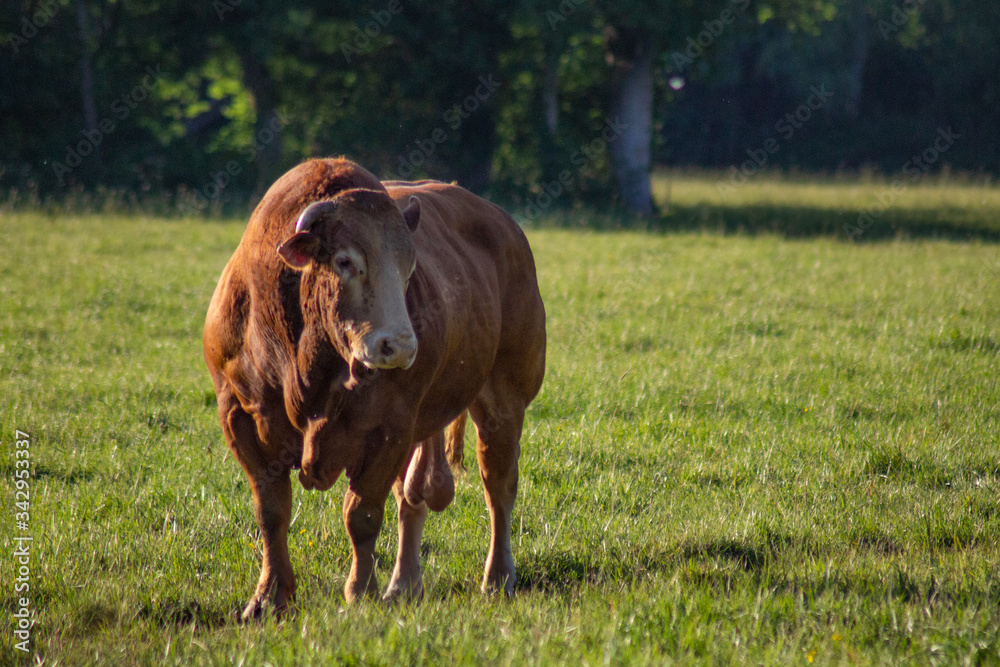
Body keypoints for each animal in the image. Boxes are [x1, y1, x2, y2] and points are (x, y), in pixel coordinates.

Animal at [203, 157, 546, 619]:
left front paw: (360, 590)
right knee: (412, 498)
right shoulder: (239, 417)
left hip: (505, 396)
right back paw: (405, 583)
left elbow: (361, 514)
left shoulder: (390, 429)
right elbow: (271, 512)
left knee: (498, 485)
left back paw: (497, 577)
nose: (400, 345)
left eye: (410, 266)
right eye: (345, 261)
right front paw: (269, 597)